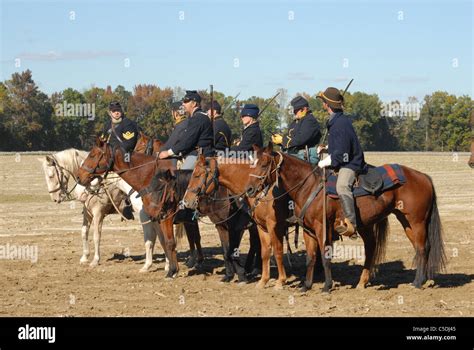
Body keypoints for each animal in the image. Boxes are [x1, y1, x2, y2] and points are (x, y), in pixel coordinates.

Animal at [39, 149, 168, 272]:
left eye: (51, 176)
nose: (55, 198)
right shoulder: (87, 212)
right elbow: (84, 232)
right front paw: (85, 257)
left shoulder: (98, 213)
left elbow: (96, 236)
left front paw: (95, 260)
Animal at [182, 156, 288, 290]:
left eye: (197, 175)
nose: (186, 201)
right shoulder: (221, 226)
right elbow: (226, 251)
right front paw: (229, 275)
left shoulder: (237, 228)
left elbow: (233, 251)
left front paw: (241, 275)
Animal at [246, 144, 446, 292]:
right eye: (252, 163)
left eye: (264, 164)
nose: (249, 189)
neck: (308, 186)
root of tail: (424, 177)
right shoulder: (308, 230)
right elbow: (311, 257)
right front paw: (306, 285)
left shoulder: (322, 228)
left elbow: (325, 256)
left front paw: (327, 286)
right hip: (401, 222)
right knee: (379, 248)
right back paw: (364, 282)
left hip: (416, 221)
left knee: (422, 248)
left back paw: (417, 282)